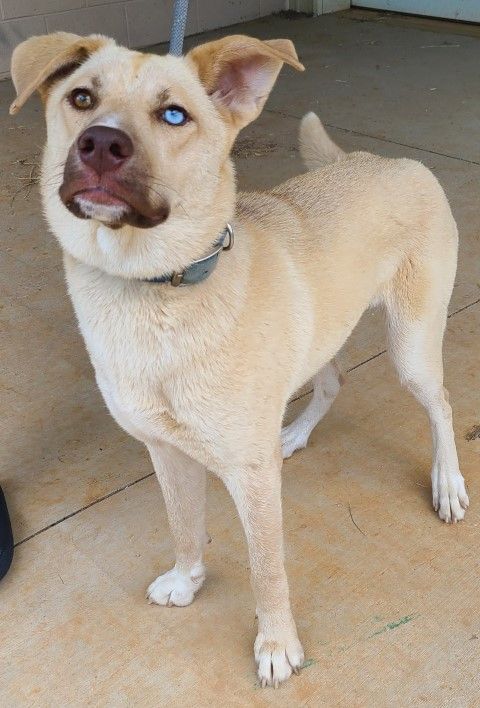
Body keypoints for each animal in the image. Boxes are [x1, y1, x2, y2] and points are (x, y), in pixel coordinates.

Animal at [10, 31, 468, 684]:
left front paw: (277, 645)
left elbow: (267, 568)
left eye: (175, 115)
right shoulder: (165, 451)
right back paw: (295, 432)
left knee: (441, 405)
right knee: (332, 381)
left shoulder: (251, 476)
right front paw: (187, 581)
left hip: (412, 347)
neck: (154, 291)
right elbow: (184, 526)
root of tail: (392, 161)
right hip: (321, 332)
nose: (99, 143)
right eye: (80, 97)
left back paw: (448, 483)